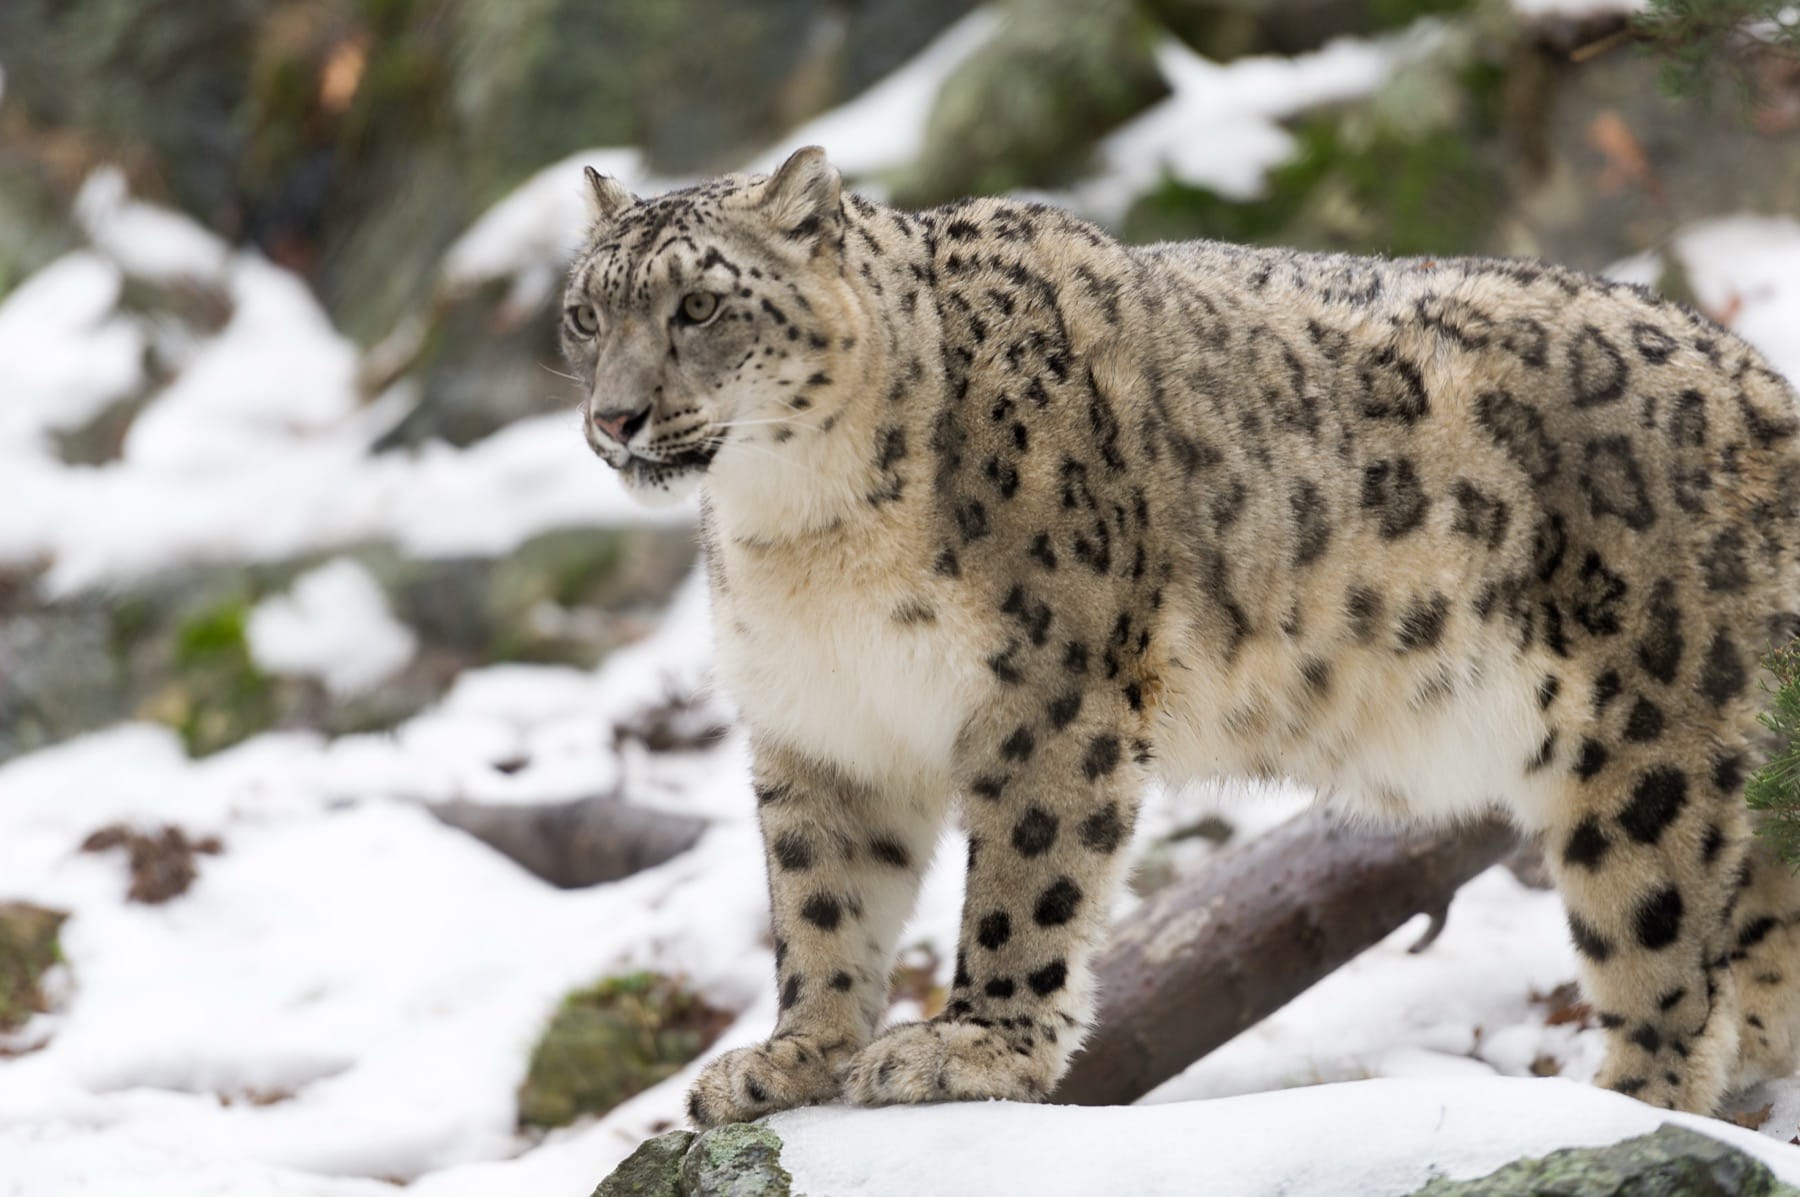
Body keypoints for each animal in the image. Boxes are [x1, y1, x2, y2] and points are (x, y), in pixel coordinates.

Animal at [559, 146, 1800, 1126]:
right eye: (586, 313)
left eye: (698, 306)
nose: (614, 417)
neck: (801, 532)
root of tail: (1766, 383)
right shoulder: (819, 724)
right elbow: (821, 902)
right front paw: (792, 1059)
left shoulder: (1049, 690)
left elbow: (1026, 879)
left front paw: (971, 1047)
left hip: (1648, 760)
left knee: (1667, 970)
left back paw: (1624, 1110)